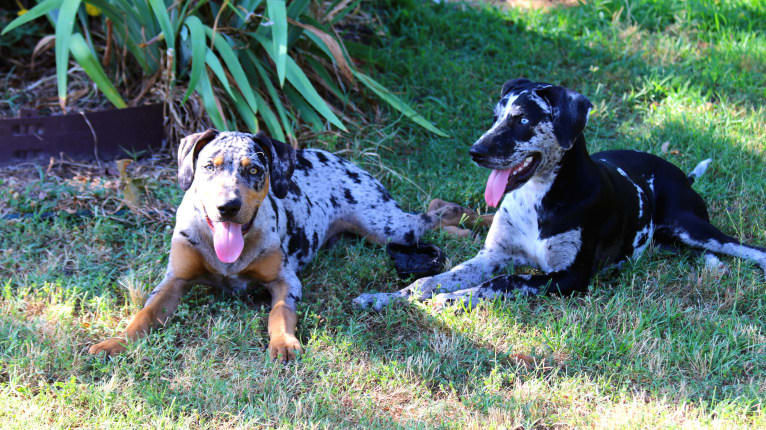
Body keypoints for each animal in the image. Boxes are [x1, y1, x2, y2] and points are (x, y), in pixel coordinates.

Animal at [87, 128, 464, 360]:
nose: (228, 206)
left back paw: (462, 219)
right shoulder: (173, 280)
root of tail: (342, 159)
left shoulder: (286, 281)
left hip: (388, 226)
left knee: (431, 214)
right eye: (209, 166)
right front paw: (114, 342)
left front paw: (283, 342)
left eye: (254, 169)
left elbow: (279, 313)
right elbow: (145, 314)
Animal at [356, 78, 766, 310]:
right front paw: (389, 297)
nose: (475, 151)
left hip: (692, 226)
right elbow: (433, 279)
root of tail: (681, 174)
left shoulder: (569, 277)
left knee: (745, 249)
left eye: (522, 119)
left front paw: (453, 300)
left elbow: (503, 282)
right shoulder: (493, 255)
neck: (536, 199)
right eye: (495, 116)